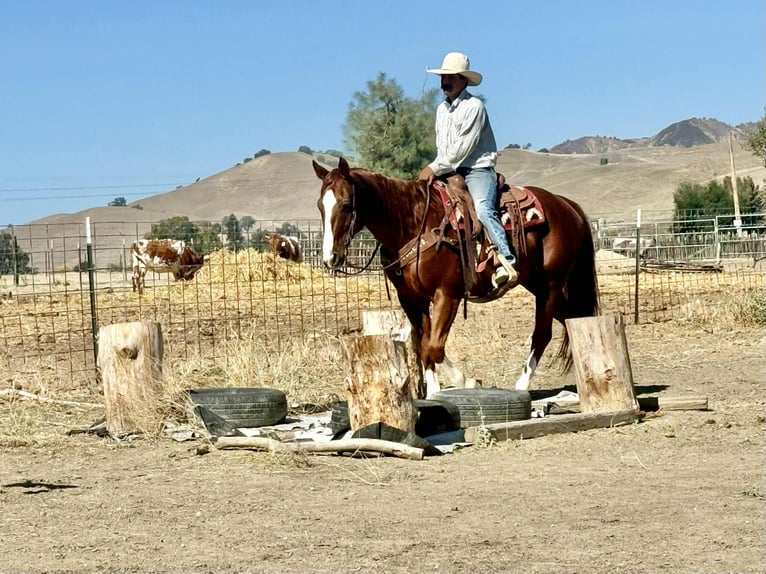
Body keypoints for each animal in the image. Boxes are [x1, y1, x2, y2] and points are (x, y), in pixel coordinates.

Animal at [313, 157, 599, 398]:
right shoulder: (411, 300)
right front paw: (434, 393)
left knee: (542, 334)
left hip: (551, 285)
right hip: (538, 284)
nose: (330, 258)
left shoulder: (447, 294)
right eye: (320, 207)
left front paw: (467, 381)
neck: (414, 224)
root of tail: (566, 205)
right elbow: (424, 346)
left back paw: (522, 385)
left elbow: (434, 347)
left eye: (347, 205)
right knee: (574, 319)